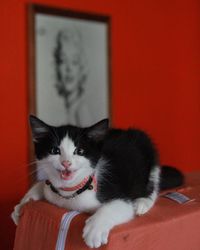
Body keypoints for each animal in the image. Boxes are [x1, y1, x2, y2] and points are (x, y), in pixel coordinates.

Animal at [10, 115, 183, 248]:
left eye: (79, 151)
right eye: (55, 150)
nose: (66, 163)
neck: (71, 192)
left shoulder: (116, 191)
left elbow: (119, 206)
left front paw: (95, 229)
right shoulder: (51, 188)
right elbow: (43, 185)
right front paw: (22, 204)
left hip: (146, 147)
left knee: (152, 183)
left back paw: (142, 202)